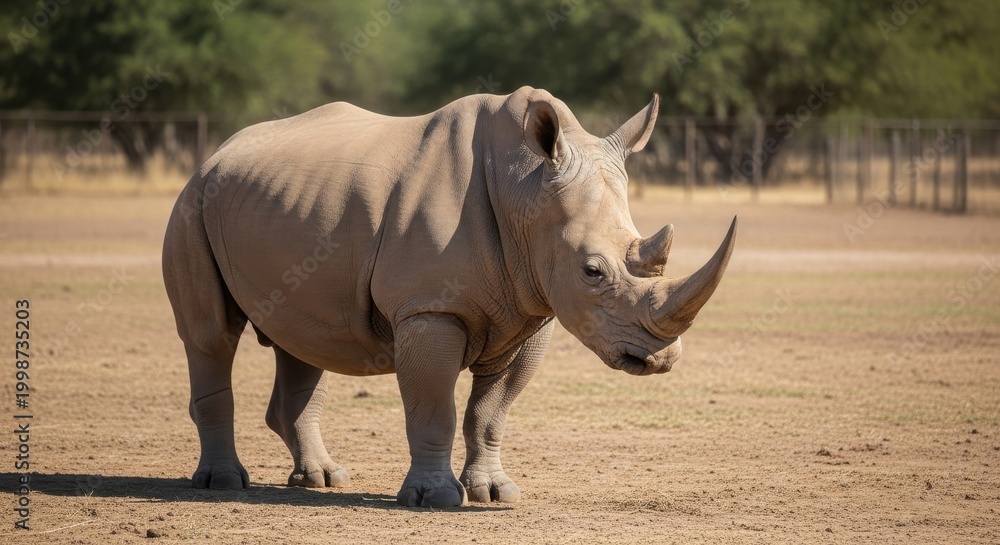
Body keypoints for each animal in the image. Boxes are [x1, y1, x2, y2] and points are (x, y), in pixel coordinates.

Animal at [162, 86, 736, 507]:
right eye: (592, 271)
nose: (660, 358)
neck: (525, 191)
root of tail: (217, 153)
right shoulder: (430, 309)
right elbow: (434, 404)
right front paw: (435, 499)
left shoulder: (531, 311)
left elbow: (491, 412)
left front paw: (495, 493)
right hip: (192, 204)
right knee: (210, 337)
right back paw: (223, 483)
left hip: (279, 205)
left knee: (303, 340)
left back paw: (323, 479)